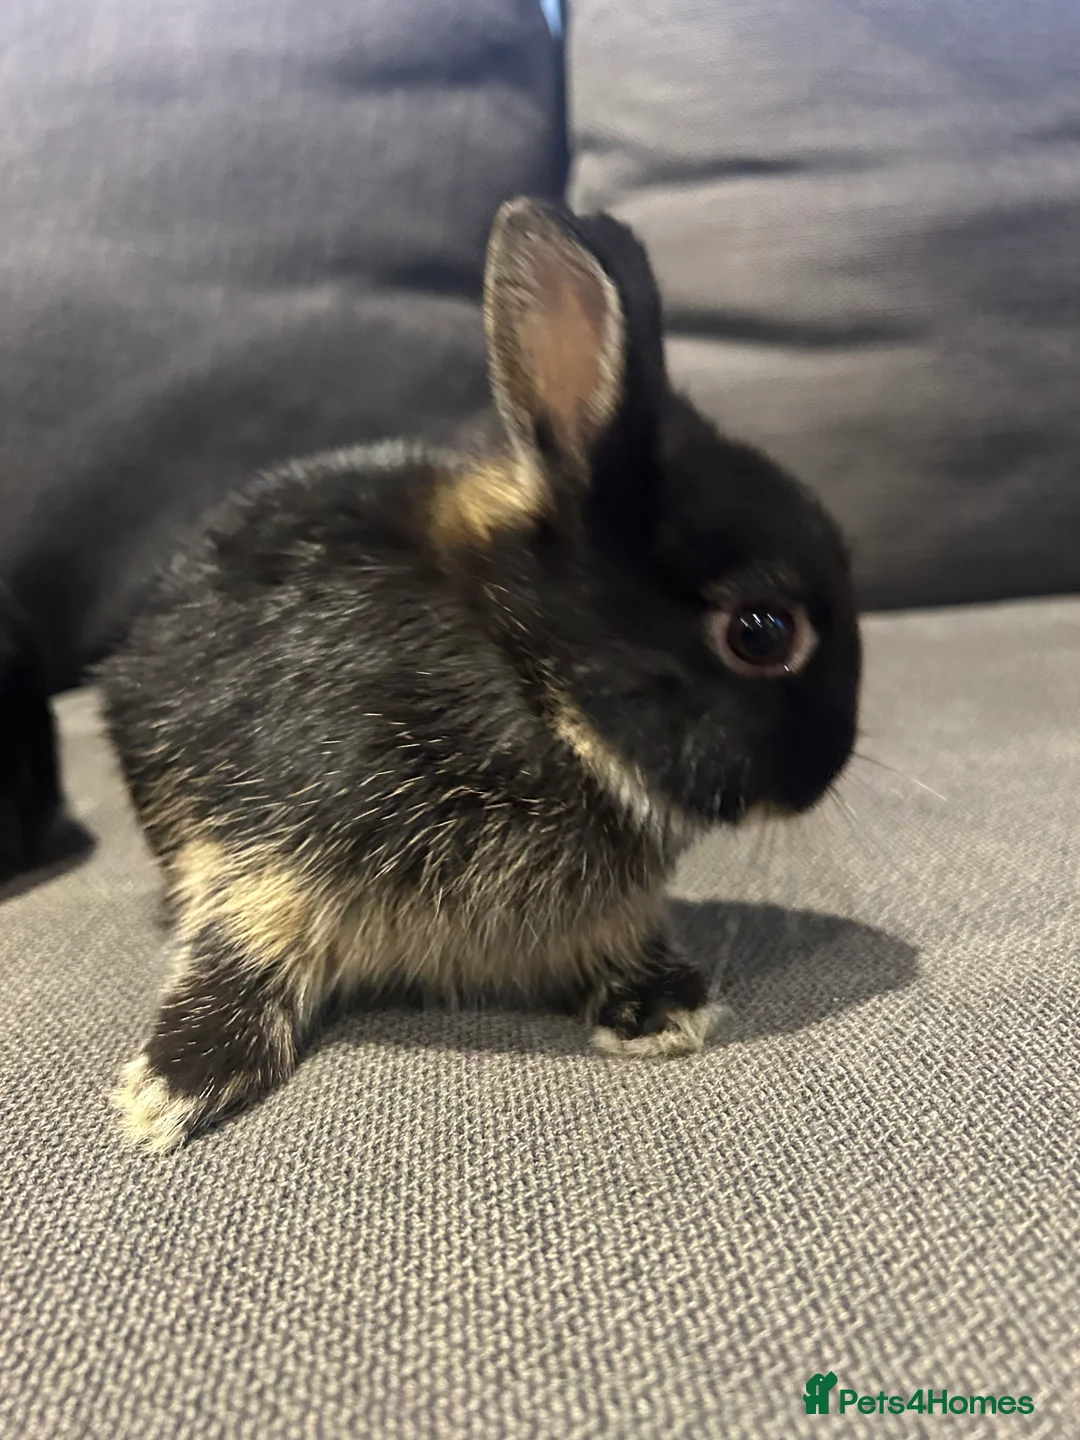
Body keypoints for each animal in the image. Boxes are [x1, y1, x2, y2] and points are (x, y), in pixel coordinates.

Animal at [102, 197, 861, 1152]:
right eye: (763, 633)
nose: (826, 770)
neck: (529, 675)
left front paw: (662, 1011)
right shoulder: (265, 848)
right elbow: (242, 943)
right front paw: (171, 1088)